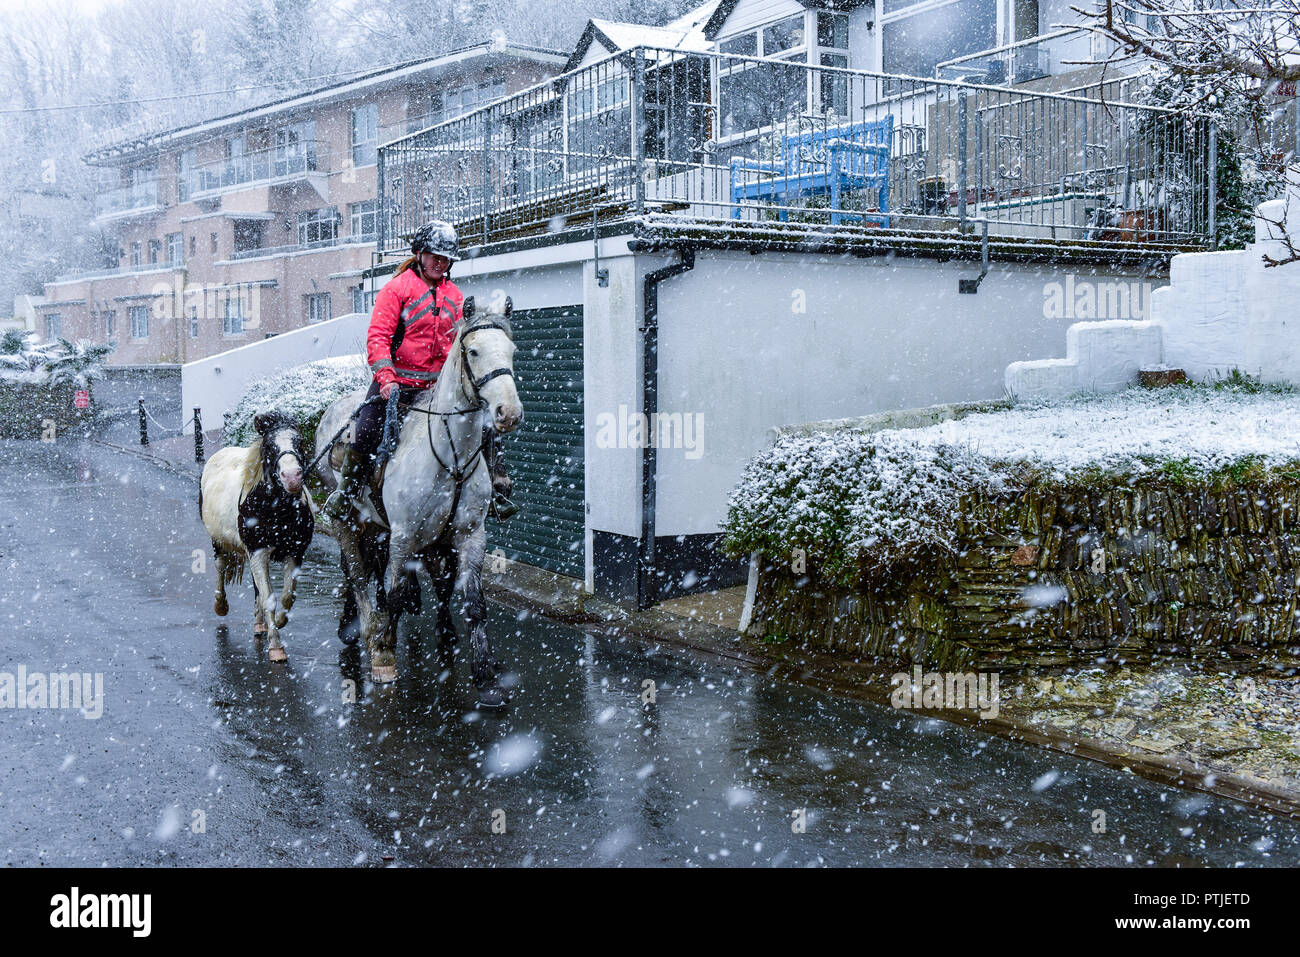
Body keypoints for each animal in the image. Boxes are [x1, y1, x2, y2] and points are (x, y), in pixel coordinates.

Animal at [199, 411, 313, 662]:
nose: (292, 477)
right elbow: (269, 597)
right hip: (219, 542)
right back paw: (221, 605)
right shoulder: (258, 552)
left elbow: (286, 597)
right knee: (220, 566)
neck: (275, 509)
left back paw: (260, 624)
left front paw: (278, 622)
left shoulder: (295, 553)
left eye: (300, 441)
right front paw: (276, 647)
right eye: (269, 445)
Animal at [314, 295, 522, 705]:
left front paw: (486, 678)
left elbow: (471, 600)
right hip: (349, 522)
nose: (508, 412)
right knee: (356, 573)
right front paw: (384, 655)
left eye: (511, 350)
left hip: (378, 527)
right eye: (473, 351)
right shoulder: (404, 536)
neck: (450, 456)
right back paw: (360, 626)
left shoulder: (468, 535)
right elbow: (394, 593)